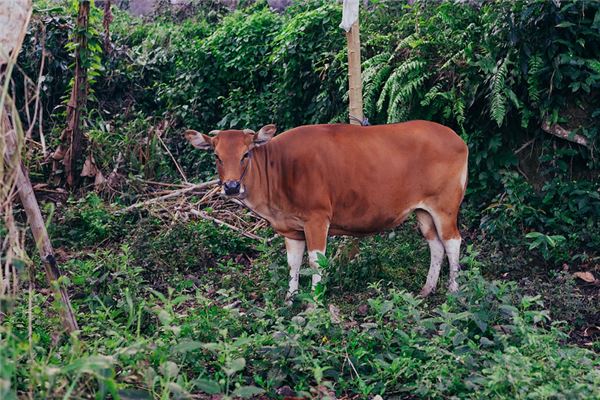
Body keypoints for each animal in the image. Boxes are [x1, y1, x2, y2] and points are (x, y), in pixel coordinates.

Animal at [184, 120, 468, 302]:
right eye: (217, 156)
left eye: (246, 154)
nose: (232, 186)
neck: (280, 168)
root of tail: (457, 139)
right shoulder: (292, 229)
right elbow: (293, 263)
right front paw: (290, 298)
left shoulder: (317, 219)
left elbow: (315, 262)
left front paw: (315, 301)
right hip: (423, 211)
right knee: (436, 245)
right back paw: (427, 289)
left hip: (445, 206)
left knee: (452, 242)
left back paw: (453, 291)